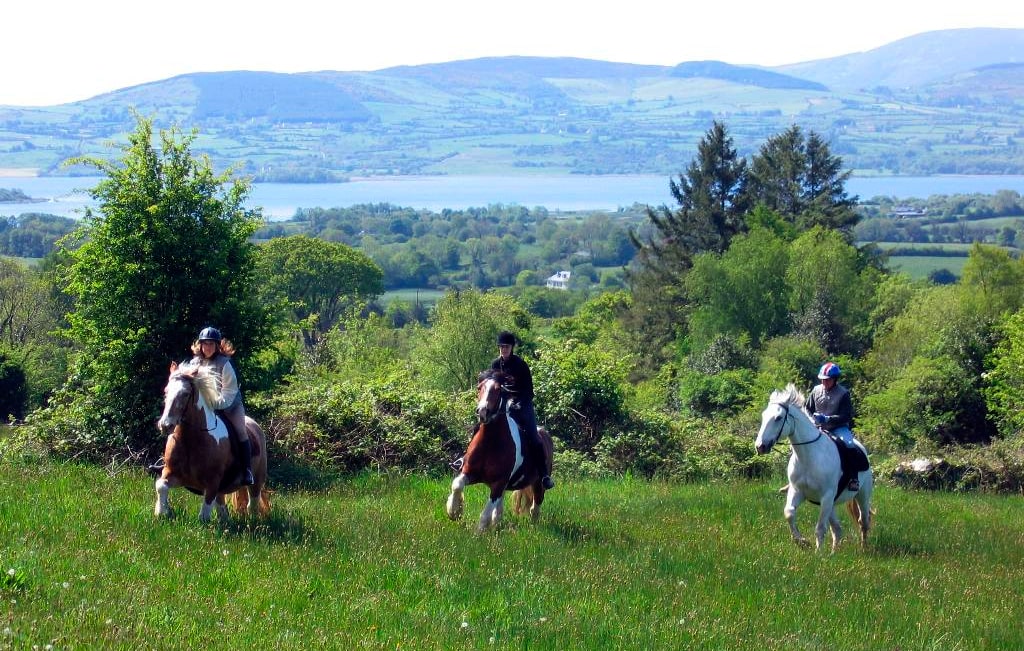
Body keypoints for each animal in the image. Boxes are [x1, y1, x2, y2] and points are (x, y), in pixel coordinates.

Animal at [153, 364, 270, 522]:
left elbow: (204, 515)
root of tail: (255, 427)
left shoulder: (212, 483)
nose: (165, 425)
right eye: (166, 391)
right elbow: (160, 486)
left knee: (252, 506)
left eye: (185, 393)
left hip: (256, 481)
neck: (191, 442)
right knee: (222, 508)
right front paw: (162, 512)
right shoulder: (172, 474)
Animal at [448, 368, 557, 532]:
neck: (490, 443)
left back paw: (532, 529)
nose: (482, 412)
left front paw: (479, 533)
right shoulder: (469, 473)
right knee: (500, 509)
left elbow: (486, 512)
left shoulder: (498, 484)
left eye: (498, 390)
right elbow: (457, 485)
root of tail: (545, 434)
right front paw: (454, 511)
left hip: (538, 484)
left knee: (535, 508)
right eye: (479, 388)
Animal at [753, 384, 872, 552]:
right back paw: (833, 553)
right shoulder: (798, 491)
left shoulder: (826, 497)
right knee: (837, 528)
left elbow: (820, 528)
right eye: (764, 416)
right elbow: (789, 513)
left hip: (862, 495)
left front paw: (818, 553)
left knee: (863, 521)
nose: (760, 447)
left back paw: (863, 548)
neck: (808, 457)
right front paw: (802, 541)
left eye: (778, 418)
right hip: (832, 504)